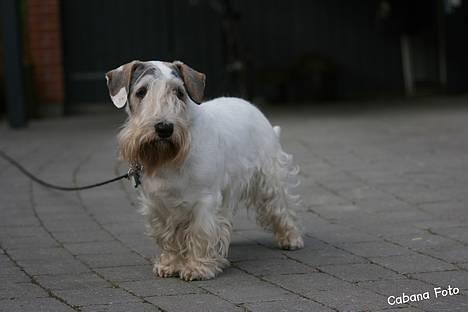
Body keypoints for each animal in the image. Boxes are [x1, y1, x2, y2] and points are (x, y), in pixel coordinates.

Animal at [106, 60, 304, 280]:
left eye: (179, 92)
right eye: (141, 92)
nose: (164, 128)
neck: (171, 157)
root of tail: (251, 106)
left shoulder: (205, 199)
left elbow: (200, 232)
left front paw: (197, 267)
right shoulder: (158, 203)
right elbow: (168, 237)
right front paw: (170, 264)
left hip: (269, 178)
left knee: (280, 207)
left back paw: (291, 239)